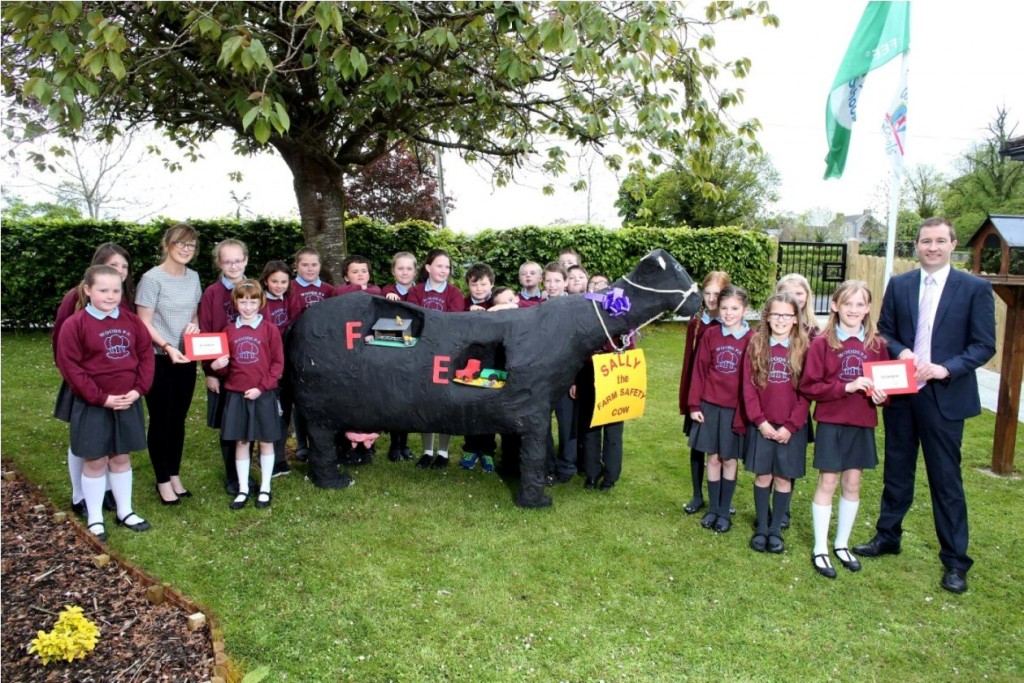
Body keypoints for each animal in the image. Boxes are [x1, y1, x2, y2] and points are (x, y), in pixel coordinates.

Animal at [292, 250, 700, 507]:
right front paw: (536, 499)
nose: (699, 299)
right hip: (317, 408)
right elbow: (535, 453)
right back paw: (335, 479)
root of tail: (298, 326)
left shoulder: (527, 410)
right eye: (676, 270)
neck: (571, 329)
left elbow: (526, 450)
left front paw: (515, 472)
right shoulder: (534, 409)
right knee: (322, 444)